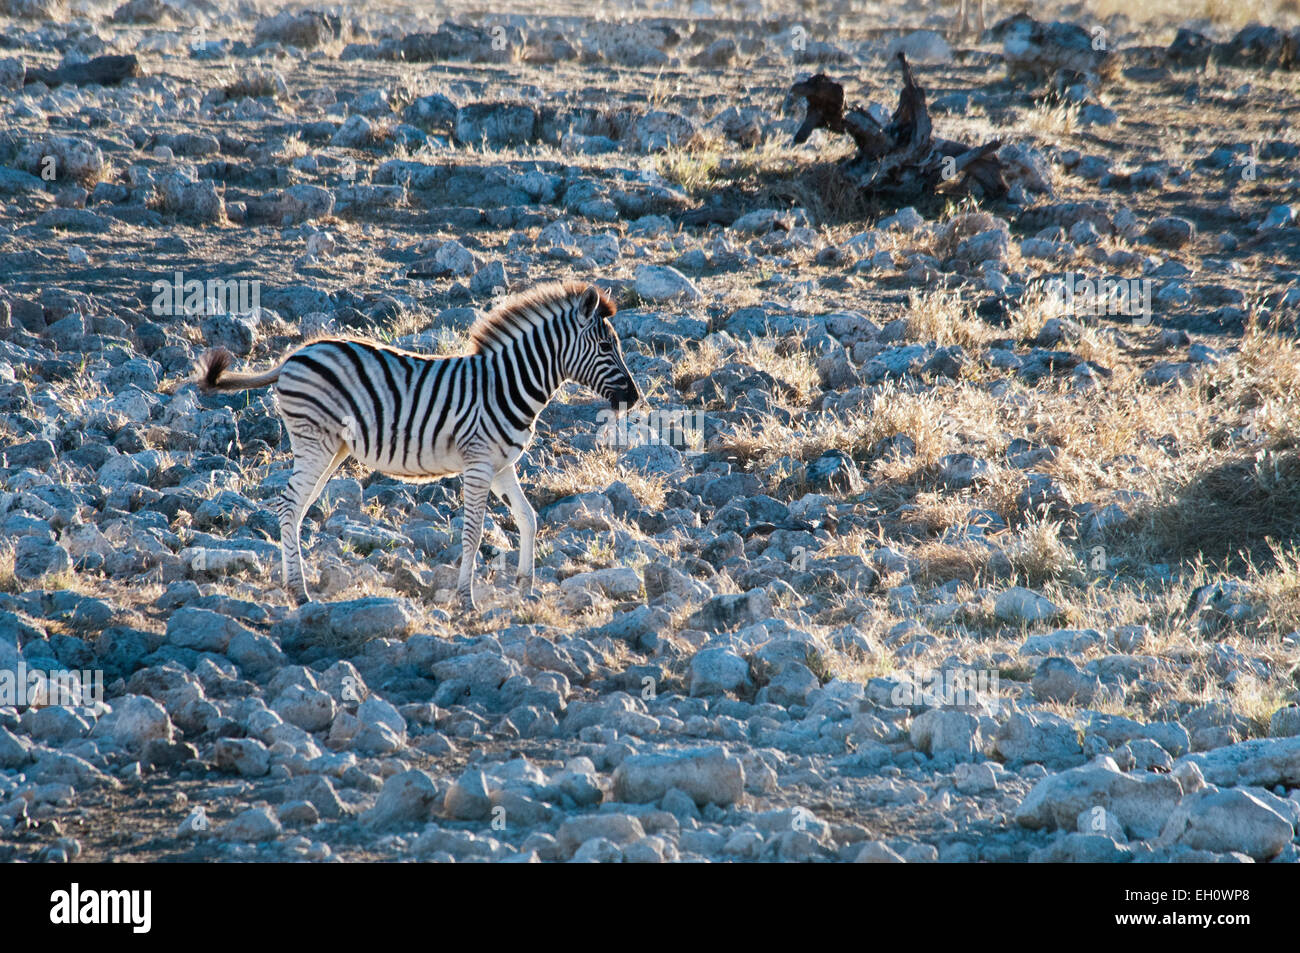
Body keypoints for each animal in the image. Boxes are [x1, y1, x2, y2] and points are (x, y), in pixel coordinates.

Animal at [192, 280, 639, 608]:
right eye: (606, 347)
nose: (635, 398)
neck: (507, 384)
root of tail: (292, 357)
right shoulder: (478, 464)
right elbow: (474, 533)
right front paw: (466, 600)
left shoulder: (502, 465)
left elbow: (528, 518)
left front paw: (525, 588)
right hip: (314, 442)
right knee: (288, 506)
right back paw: (299, 593)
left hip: (330, 449)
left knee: (297, 508)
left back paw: (293, 586)